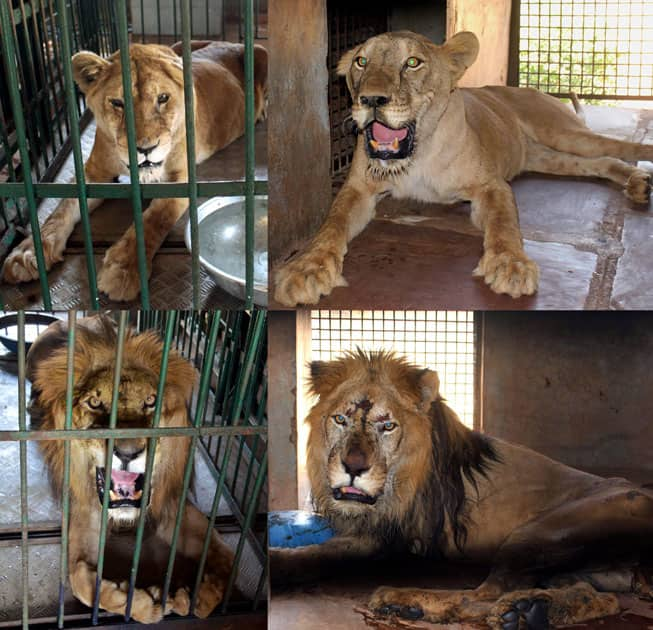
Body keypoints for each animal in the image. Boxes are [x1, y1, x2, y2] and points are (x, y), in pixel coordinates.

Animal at [26, 318, 234, 624]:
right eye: (95, 403)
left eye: (150, 401)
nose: (126, 453)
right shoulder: (84, 517)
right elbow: (80, 580)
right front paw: (144, 603)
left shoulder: (173, 509)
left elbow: (226, 554)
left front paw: (200, 594)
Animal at [274, 354, 652, 628]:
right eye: (341, 419)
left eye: (388, 426)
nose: (353, 469)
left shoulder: (387, 539)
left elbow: (317, 555)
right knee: (601, 597)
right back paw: (533, 610)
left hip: (542, 532)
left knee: (485, 594)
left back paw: (402, 601)